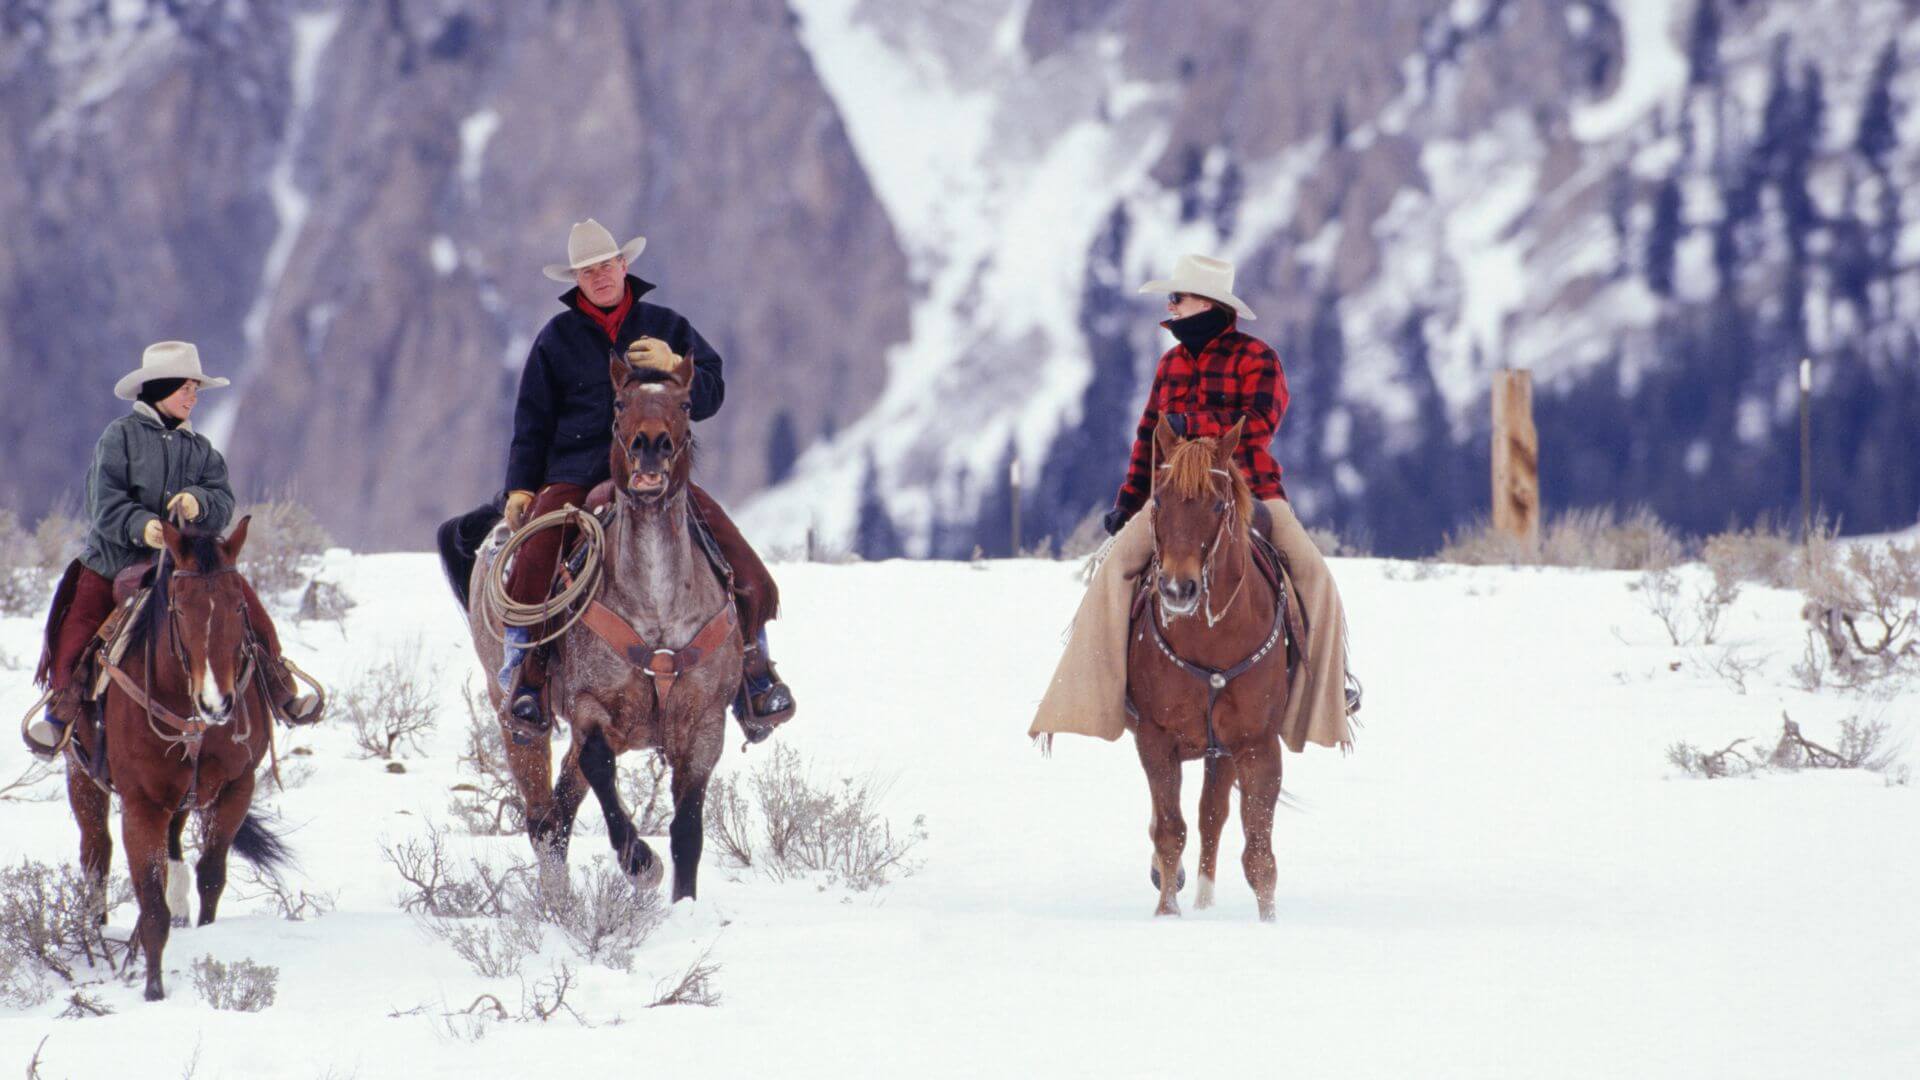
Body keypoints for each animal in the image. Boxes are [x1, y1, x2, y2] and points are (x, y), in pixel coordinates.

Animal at [65, 518, 289, 999]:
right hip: (82, 777)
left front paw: (203, 936)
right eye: (180, 610)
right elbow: (151, 905)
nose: (217, 702)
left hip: (182, 801)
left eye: (239, 605)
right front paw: (154, 991)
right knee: (95, 855)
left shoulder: (237, 787)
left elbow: (210, 875)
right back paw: (96, 940)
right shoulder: (141, 805)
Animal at [470, 345, 741, 899]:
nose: (651, 445)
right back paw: (558, 904)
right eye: (619, 403)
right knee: (542, 818)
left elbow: (688, 829)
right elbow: (601, 770)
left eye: (685, 404)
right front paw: (640, 862)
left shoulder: (706, 723)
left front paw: (684, 902)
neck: (657, 607)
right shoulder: (590, 709)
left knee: (559, 812)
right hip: (514, 718)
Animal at [1121, 417, 1290, 922]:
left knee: (1211, 815)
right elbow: (1168, 831)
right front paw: (1167, 914)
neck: (1213, 638)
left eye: (1217, 504)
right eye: (1159, 500)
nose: (1178, 588)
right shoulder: (1155, 738)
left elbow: (1259, 853)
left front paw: (1269, 923)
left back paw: (1205, 901)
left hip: (1223, 752)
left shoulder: (1257, 744)